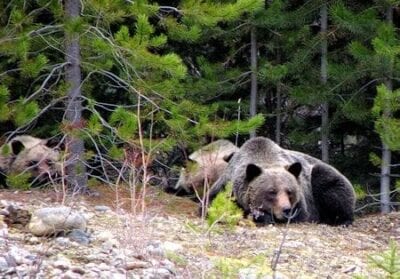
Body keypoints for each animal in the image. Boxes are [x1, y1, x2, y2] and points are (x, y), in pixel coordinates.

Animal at [206, 137, 356, 226]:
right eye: (271, 191)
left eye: (290, 191)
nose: (286, 210)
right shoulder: (226, 185)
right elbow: (211, 203)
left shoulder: (304, 201)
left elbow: (302, 213)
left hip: (320, 176)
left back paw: (342, 220)